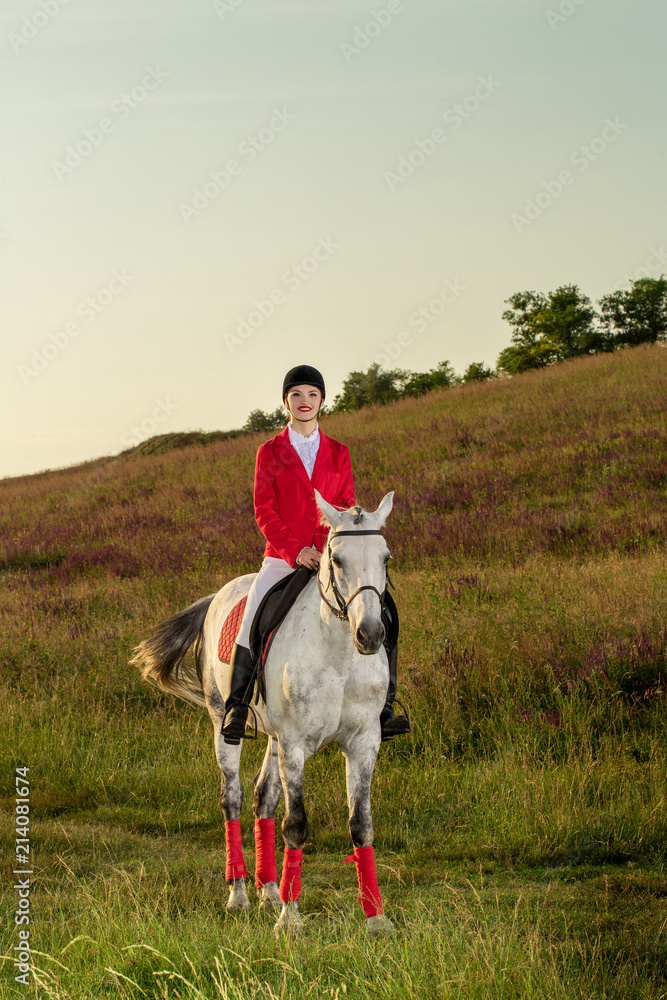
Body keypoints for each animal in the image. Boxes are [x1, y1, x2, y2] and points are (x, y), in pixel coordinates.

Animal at [134, 492, 400, 936]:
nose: (371, 635)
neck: (340, 656)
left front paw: (376, 919)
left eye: (385, 558)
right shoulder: (296, 744)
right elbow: (296, 825)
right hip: (226, 725)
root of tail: (219, 595)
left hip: (275, 739)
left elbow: (361, 825)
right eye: (336, 559)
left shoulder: (364, 743)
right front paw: (290, 920)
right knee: (234, 798)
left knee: (264, 798)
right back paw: (239, 895)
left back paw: (270, 890)